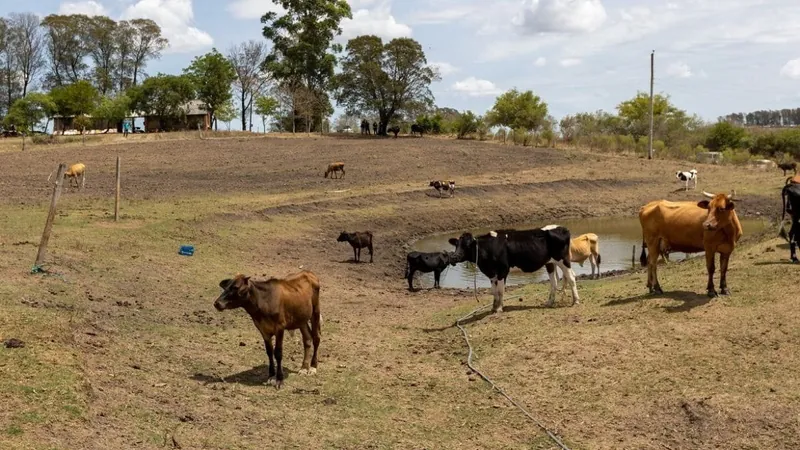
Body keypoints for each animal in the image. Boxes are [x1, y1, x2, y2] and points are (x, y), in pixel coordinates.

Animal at [446, 225, 580, 312]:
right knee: (554, 281)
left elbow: (500, 290)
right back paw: (549, 302)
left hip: (563, 260)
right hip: (550, 262)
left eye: (468, 245)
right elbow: (494, 291)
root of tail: (562, 228)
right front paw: (494, 307)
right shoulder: (491, 273)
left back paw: (576, 301)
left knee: (571, 277)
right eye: (457, 244)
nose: (454, 257)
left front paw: (499, 308)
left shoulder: (503, 270)